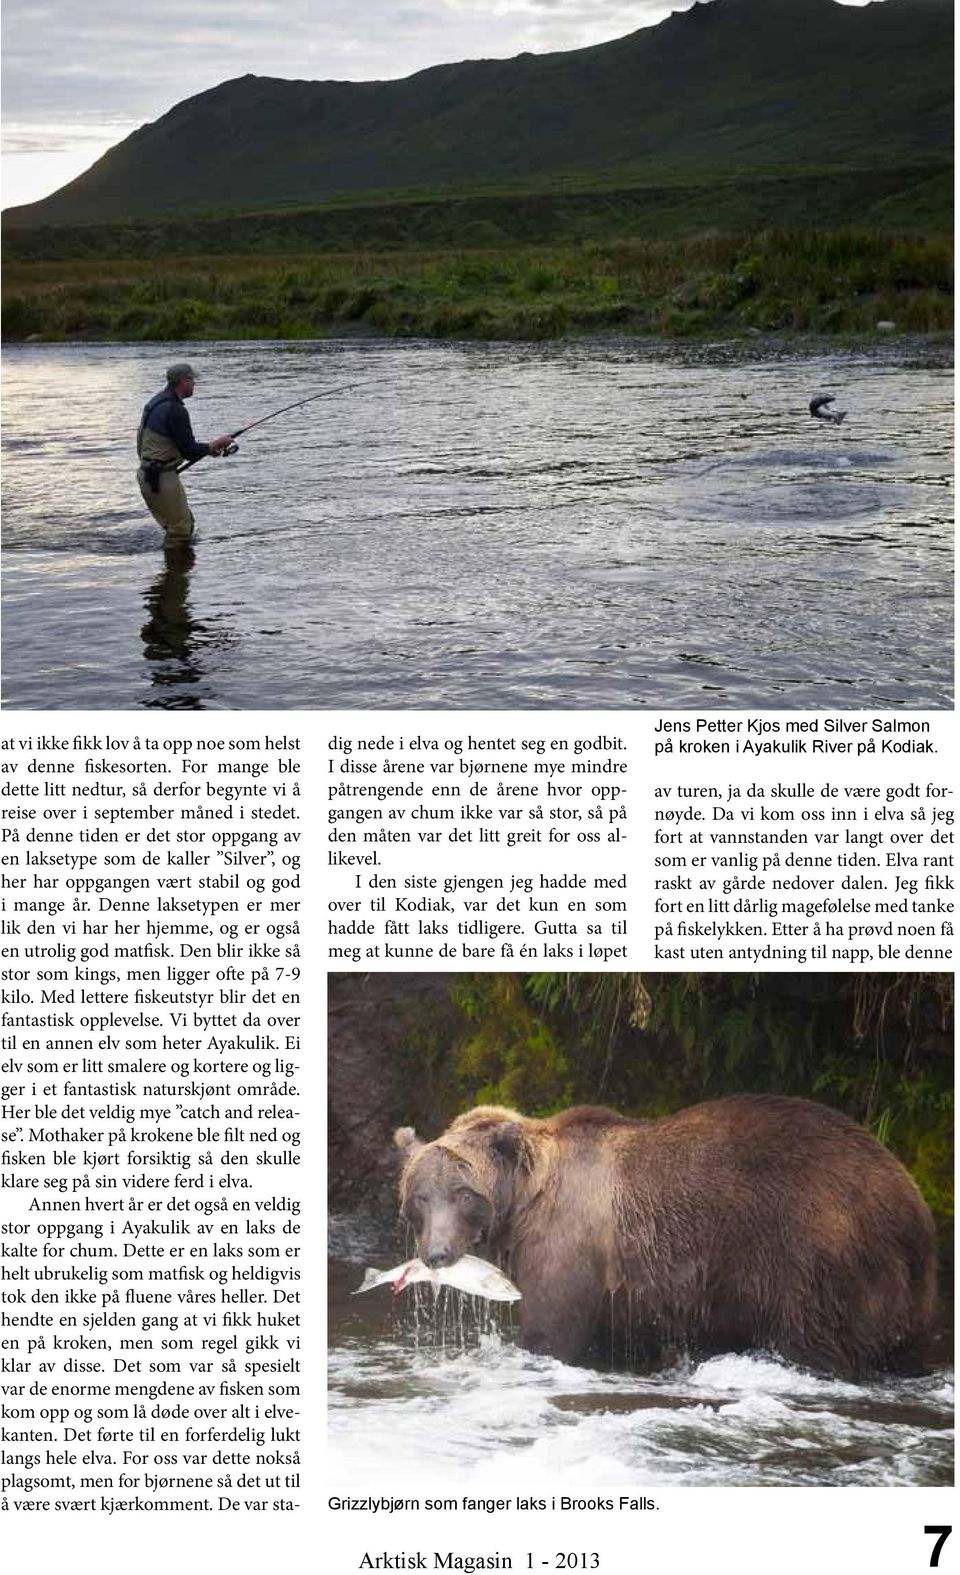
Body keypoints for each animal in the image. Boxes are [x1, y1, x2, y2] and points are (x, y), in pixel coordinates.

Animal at [391, 1096, 937, 1379]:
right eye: (420, 1196)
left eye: (462, 1193)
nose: (436, 1253)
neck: (525, 1200)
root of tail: (910, 1204)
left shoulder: (569, 1244)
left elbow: (551, 1327)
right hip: (901, 1292)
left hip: (813, 1256)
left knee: (815, 1337)